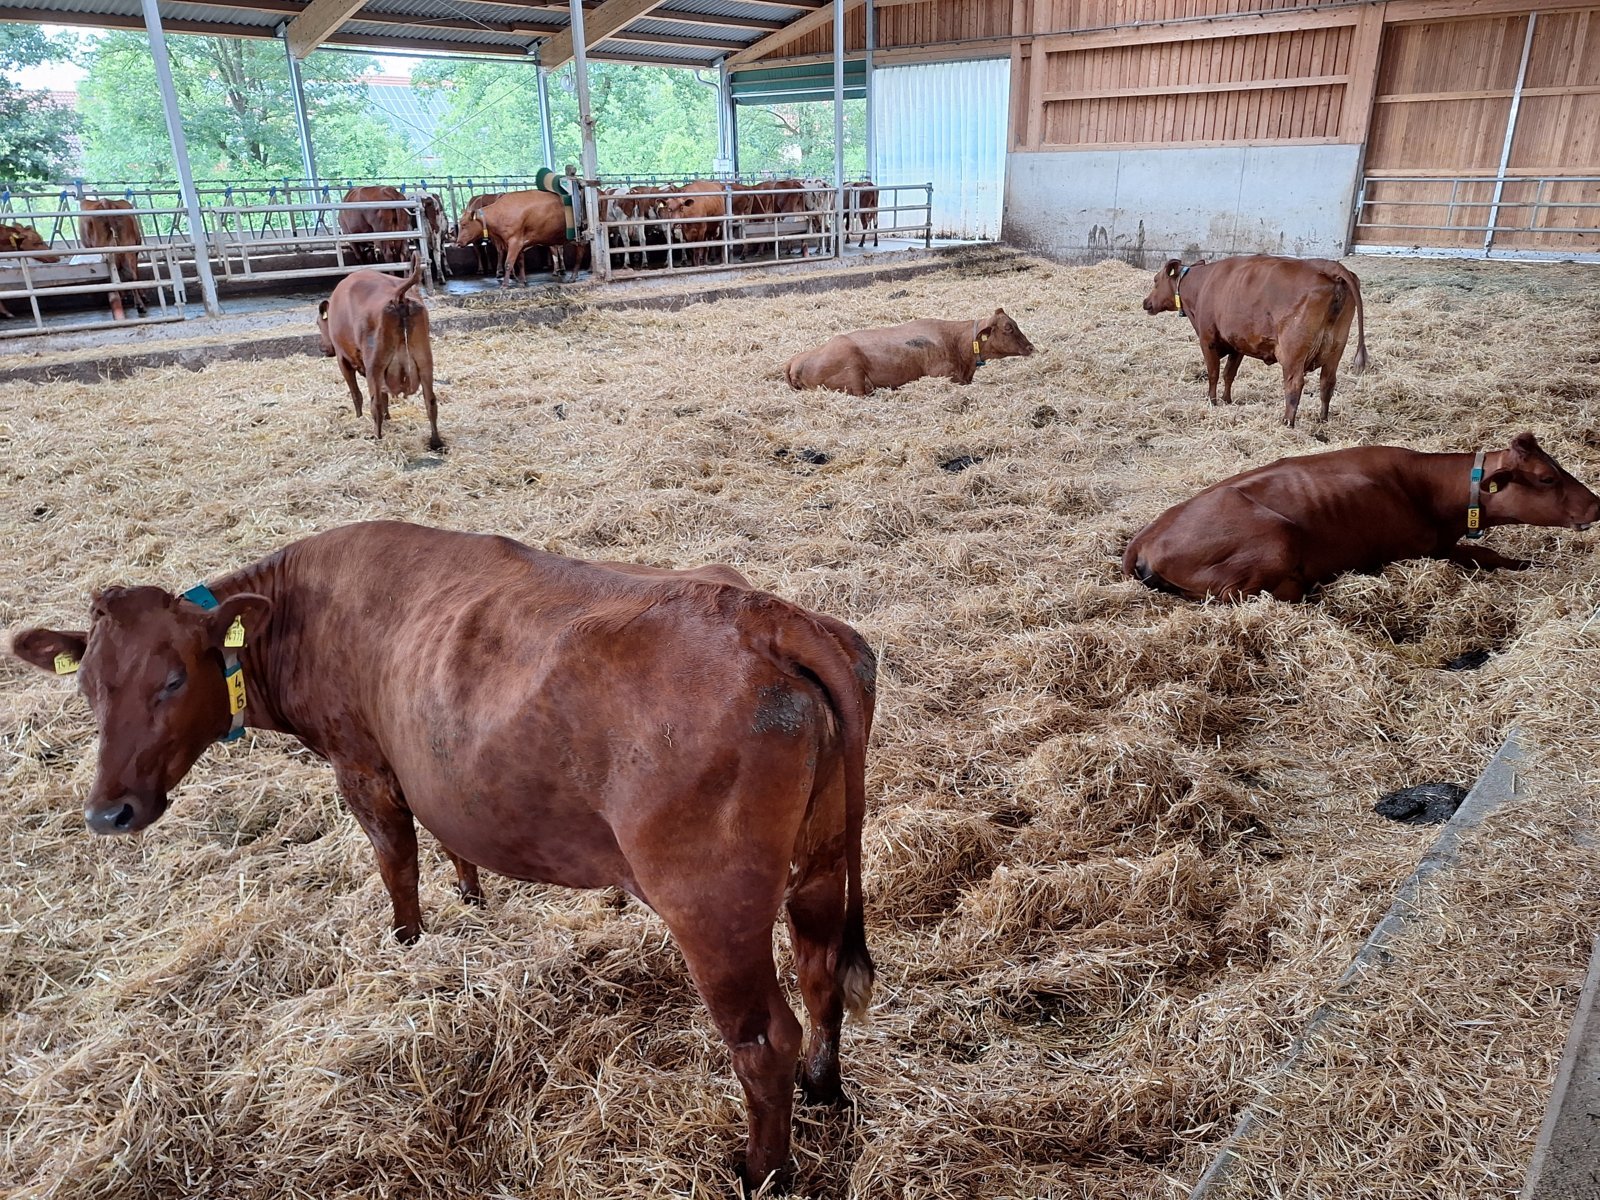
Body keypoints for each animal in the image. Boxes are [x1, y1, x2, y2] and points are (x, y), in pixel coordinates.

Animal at [9, 518, 878, 1191]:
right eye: (88, 685)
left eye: (171, 678)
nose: (109, 811)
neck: (299, 611)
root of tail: (768, 616)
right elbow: (452, 841)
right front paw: (471, 897)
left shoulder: (361, 765)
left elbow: (397, 862)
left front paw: (407, 944)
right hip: (822, 864)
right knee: (821, 974)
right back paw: (824, 1087)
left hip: (713, 908)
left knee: (763, 1040)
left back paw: (764, 1170)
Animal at [316, 255, 442, 451]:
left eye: (318, 323)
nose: (322, 347)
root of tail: (398, 295)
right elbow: (385, 396)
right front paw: (388, 417)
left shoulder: (343, 359)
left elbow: (357, 394)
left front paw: (359, 417)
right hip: (424, 362)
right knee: (430, 401)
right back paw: (435, 442)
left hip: (374, 366)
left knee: (374, 403)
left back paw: (377, 437)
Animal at [1122, 433, 1599, 602]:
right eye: (1546, 477)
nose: (1597, 504)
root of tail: (1146, 535)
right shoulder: (1421, 549)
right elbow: (1482, 557)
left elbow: (1492, 554)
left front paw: (1532, 562)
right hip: (1278, 536)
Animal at [1142, 254, 1371, 428]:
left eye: (1155, 280)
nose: (1146, 303)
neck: (1202, 285)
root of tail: (1332, 266)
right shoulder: (1237, 344)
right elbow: (1229, 374)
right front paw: (1227, 400)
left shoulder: (1208, 340)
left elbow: (1213, 374)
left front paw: (1212, 402)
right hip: (1335, 348)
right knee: (1327, 383)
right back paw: (1322, 420)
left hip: (1293, 352)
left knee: (1294, 385)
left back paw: (1287, 422)